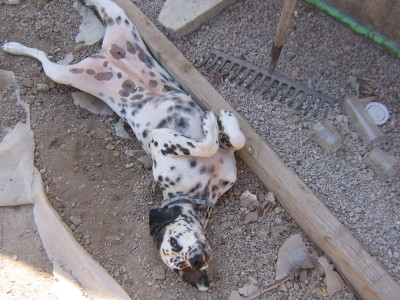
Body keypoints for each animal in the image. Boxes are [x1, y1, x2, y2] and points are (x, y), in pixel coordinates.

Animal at [3, 0, 245, 290]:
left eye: (175, 241)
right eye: (176, 256)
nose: (196, 260)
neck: (200, 190)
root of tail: (104, 56)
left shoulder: (216, 154)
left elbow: (232, 140)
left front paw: (222, 120)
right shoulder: (159, 140)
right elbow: (210, 144)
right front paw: (215, 124)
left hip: (118, 18)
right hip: (61, 73)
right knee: (42, 58)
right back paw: (14, 47)